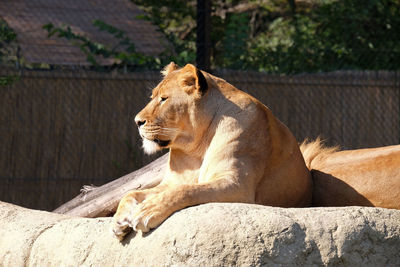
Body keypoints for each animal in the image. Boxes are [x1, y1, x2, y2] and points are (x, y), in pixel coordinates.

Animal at [110, 62, 312, 241]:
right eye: (152, 96)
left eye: (164, 99)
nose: (137, 121)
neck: (196, 146)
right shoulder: (173, 181)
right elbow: (131, 193)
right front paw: (119, 221)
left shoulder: (238, 185)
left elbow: (187, 190)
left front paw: (148, 210)